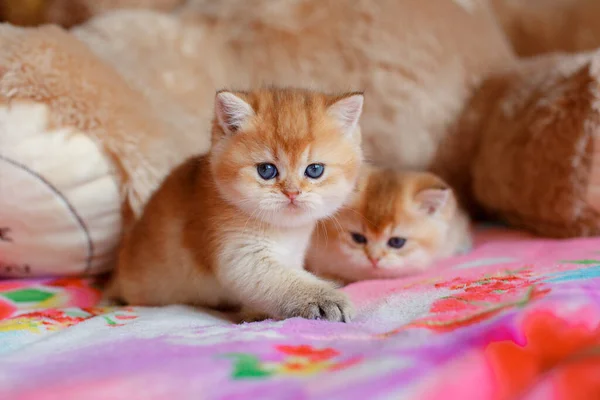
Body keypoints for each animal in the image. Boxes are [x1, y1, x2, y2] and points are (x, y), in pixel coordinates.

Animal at [105, 87, 364, 322]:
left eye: (314, 170)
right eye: (266, 170)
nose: (292, 193)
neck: (283, 230)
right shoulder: (240, 254)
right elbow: (282, 281)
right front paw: (324, 299)